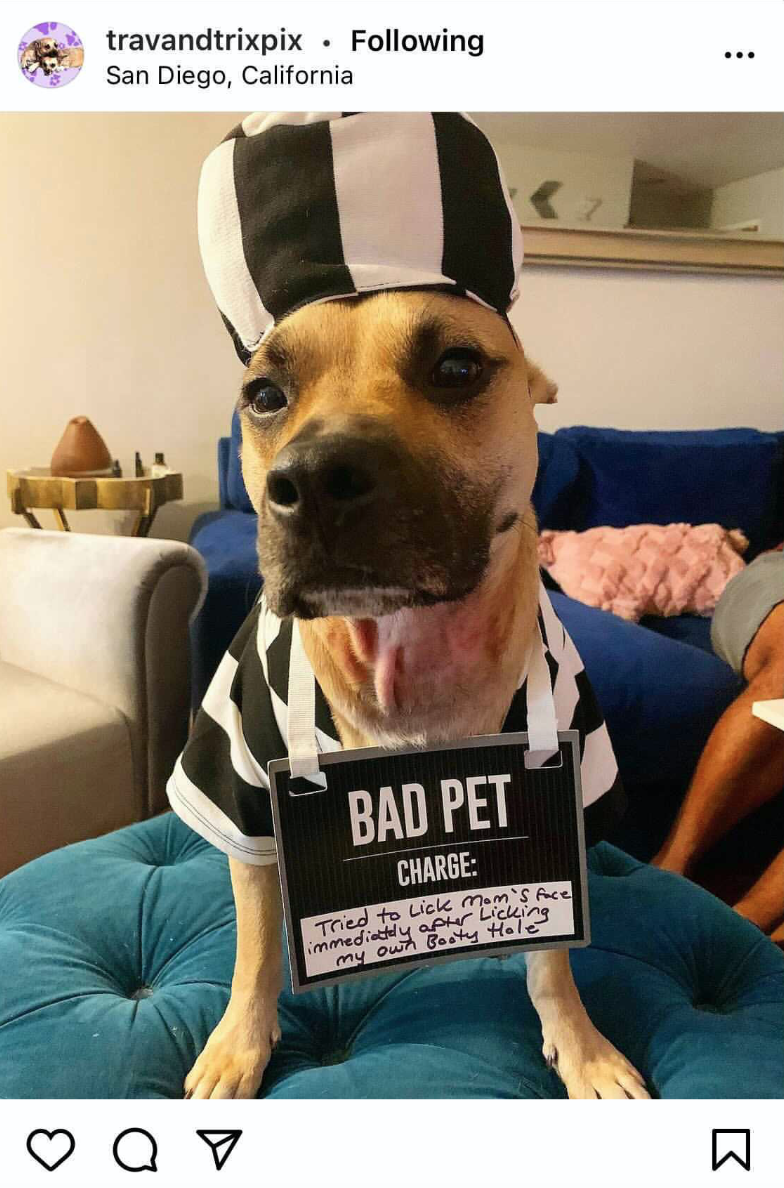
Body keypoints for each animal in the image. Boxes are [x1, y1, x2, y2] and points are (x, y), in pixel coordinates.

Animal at [182, 288, 649, 1101]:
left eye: (456, 367)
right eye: (265, 396)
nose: (315, 479)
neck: (407, 644)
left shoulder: (568, 784)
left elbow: (554, 957)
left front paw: (580, 1042)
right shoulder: (240, 788)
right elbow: (258, 949)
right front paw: (239, 1044)